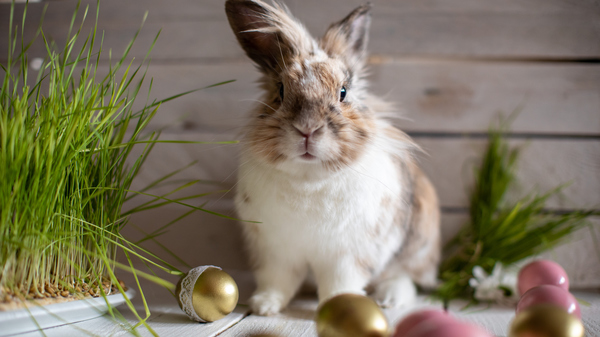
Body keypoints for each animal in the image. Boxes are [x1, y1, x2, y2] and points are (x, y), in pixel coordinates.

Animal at [225, 0, 440, 316]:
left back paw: (390, 299)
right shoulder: (275, 252)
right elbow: (277, 280)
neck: (308, 177)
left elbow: (341, 283)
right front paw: (264, 306)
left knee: (404, 276)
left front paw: (342, 307)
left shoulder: (348, 256)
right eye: (281, 90)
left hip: (417, 245)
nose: (308, 129)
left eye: (343, 92)